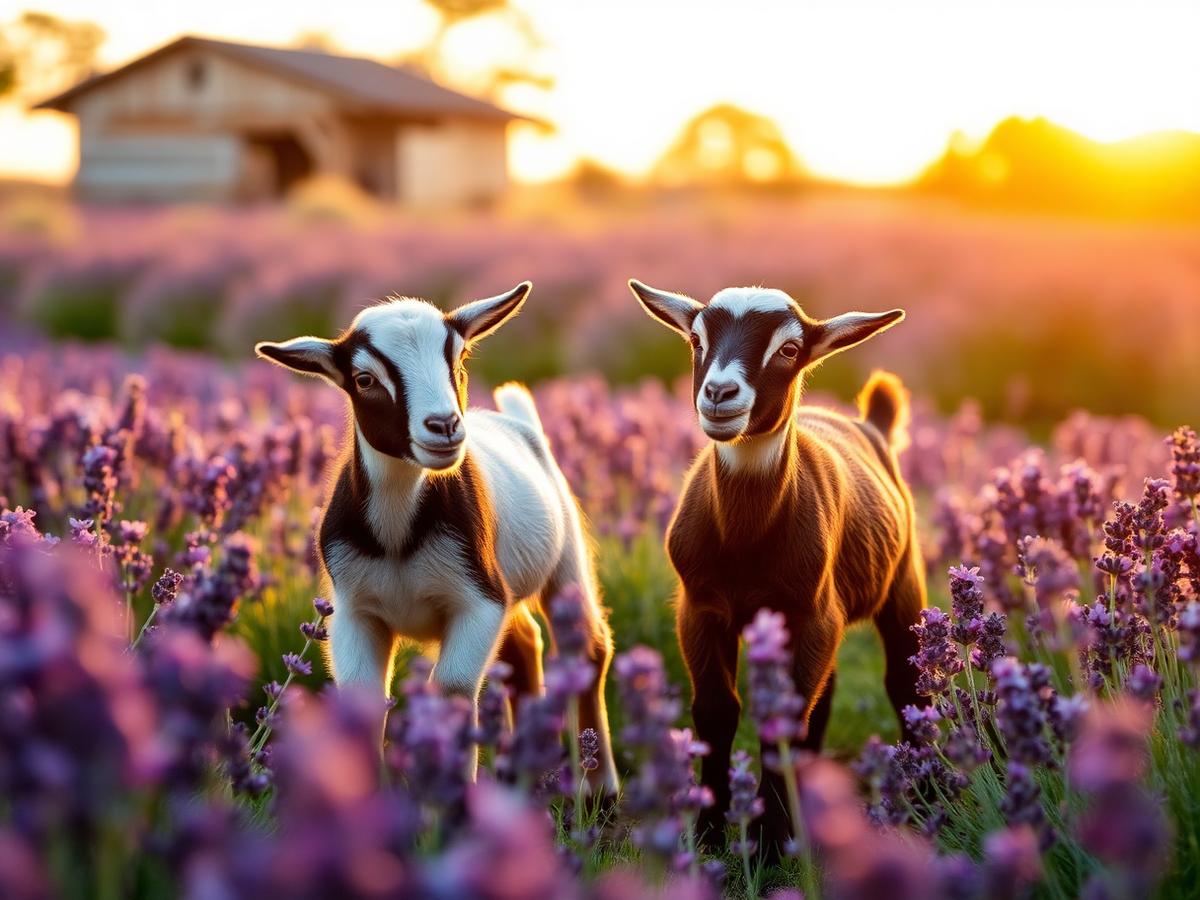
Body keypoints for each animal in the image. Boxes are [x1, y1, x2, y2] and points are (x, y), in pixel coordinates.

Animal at [255, 282, 617, 791]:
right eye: (364, 379)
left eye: (459, 362)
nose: (444, 426)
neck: (396, 538)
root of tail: (521, 425)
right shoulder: (355, 612)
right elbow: (365, 703)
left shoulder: (479, 602)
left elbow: (451, 691)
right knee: (524, 644)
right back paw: (523, 773)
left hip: (566, 564)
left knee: (587, 648)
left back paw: (599, 786)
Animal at [629, 279, 926, 853]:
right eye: (696, 340)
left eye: (789, 349)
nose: (719, 394)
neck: (746, 541)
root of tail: (870, 423)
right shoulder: (700, 610)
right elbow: (716, 712)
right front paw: (710, 836)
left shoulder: (809, 615)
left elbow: (781, 721)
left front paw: (766, 846)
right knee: (824, 698)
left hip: (901, 586)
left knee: (905, 683)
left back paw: (923, 801)